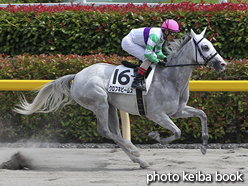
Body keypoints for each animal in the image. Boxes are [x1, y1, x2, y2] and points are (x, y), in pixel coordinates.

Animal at [14, 28, 227, 169]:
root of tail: (77, 76)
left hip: (111, 107)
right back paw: (135, 150)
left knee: (114, 133)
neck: (170, 77)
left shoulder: (177, 110)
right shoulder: (157, 114)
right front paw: (156, 137)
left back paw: (139, 160)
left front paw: (204, 146)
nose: (223, 64)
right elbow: (177, 132)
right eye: (205, 47)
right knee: (105, 131)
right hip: (99, 102)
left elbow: (202, 114)